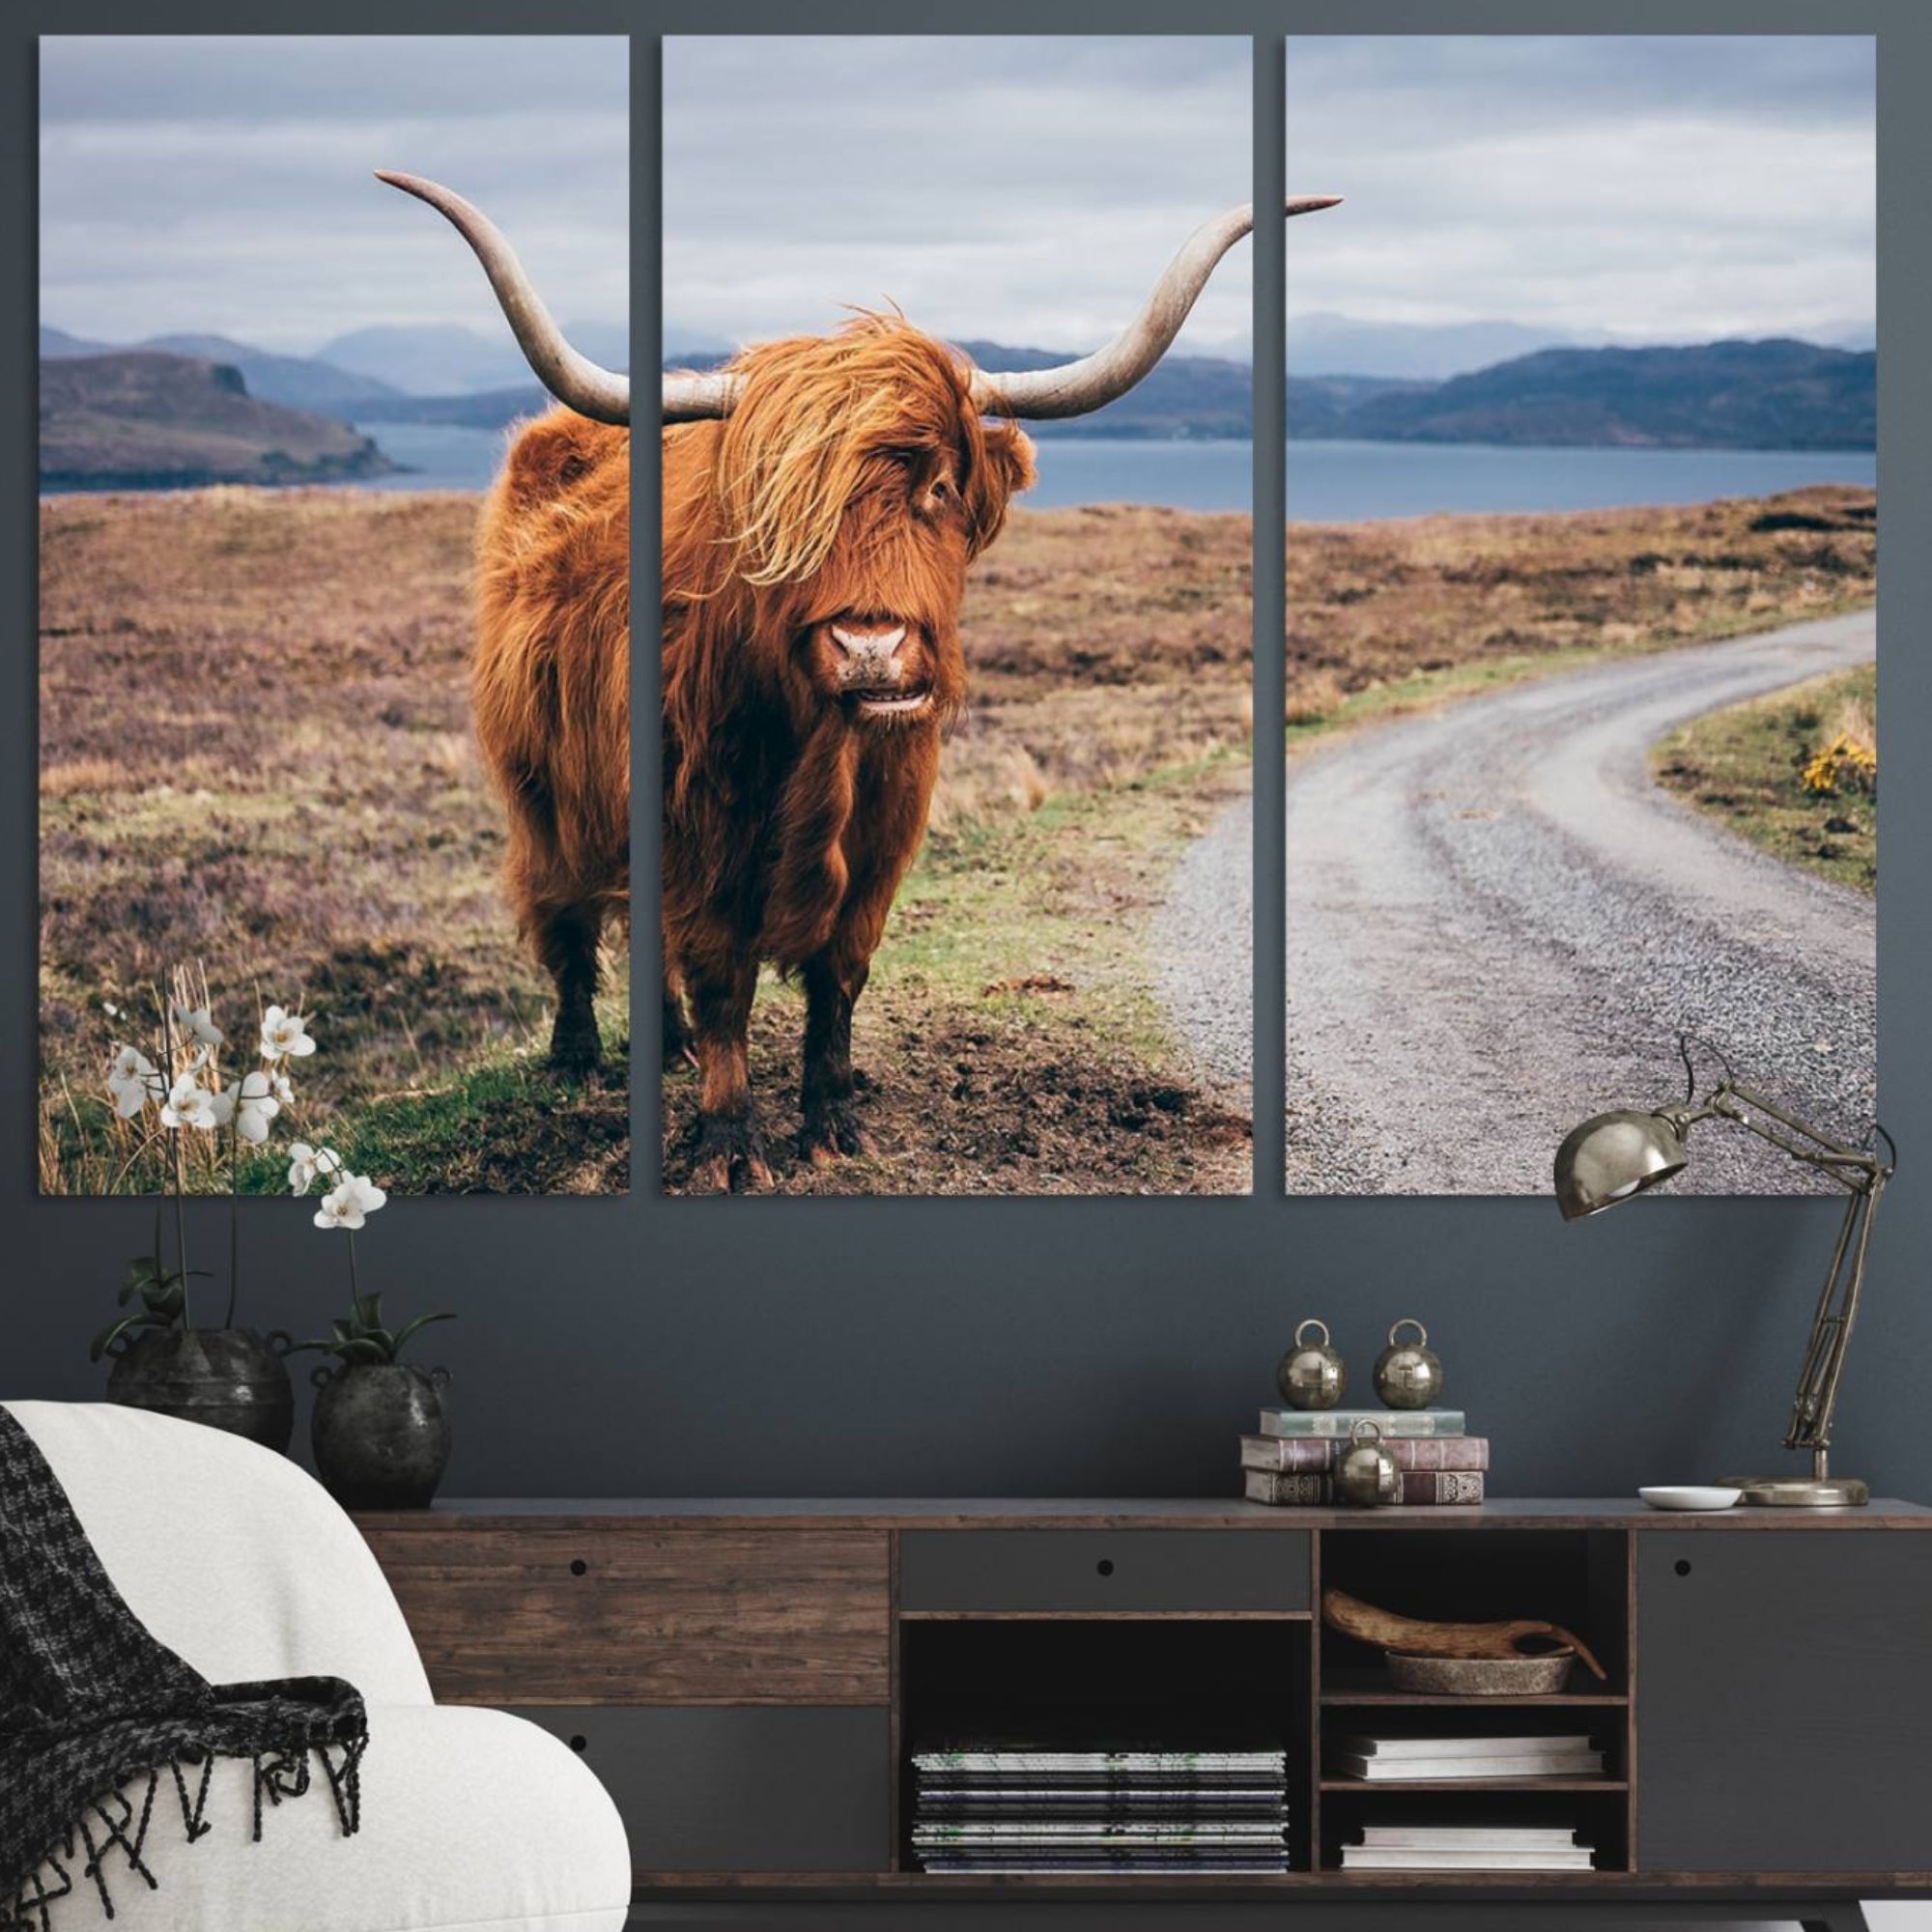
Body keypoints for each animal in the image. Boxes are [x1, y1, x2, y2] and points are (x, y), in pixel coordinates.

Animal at [378, 172, 1339, 1190]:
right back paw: (575, 1058)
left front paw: (834, 1122)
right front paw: (729, 1142)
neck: (820, 756)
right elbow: (721, 978)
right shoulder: (695, 831)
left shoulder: (885, 834)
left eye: (942, 488)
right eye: (778, 509)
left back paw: (664, 1046)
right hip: (540, 789)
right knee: (561, 914)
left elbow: (839, 976)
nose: (870, 646)